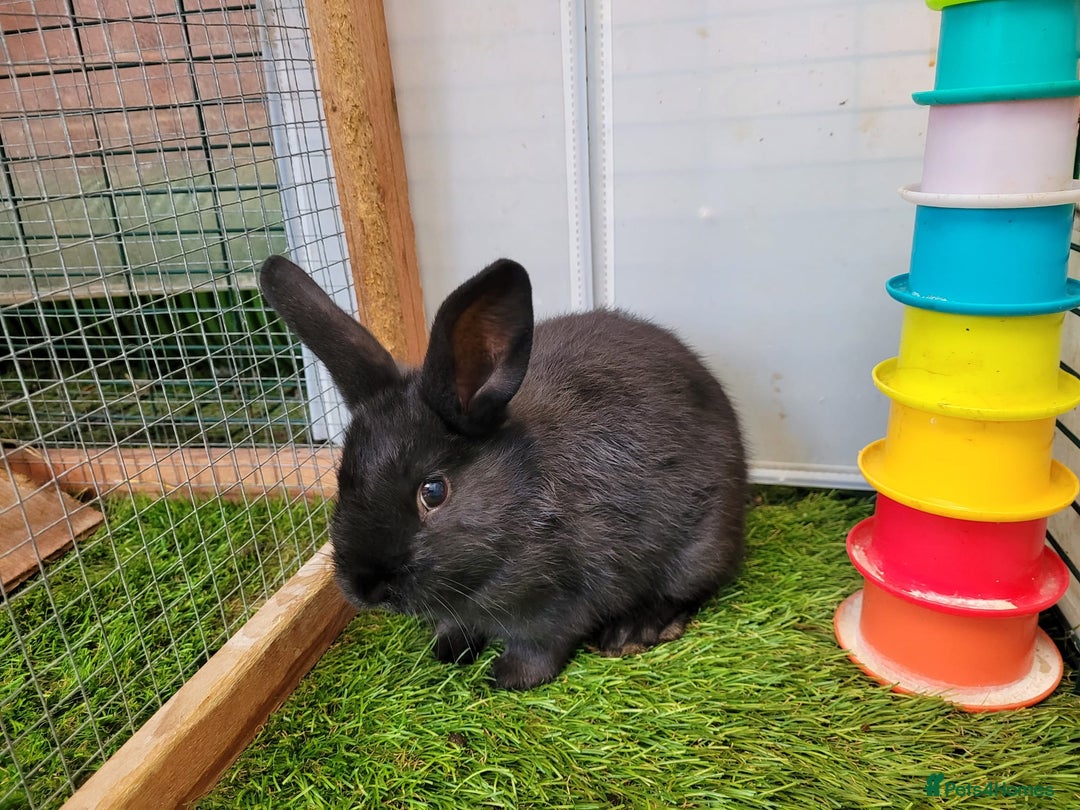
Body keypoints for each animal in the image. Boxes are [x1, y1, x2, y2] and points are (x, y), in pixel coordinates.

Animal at [259, 255, 747, 690]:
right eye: (342, 479)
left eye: (433, 492)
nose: (363, 587)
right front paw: (448, 651)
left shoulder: (565, 601)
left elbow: (543, 644)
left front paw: (509, 677)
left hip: (701, 545)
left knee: (691, 590)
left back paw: (634, 632)